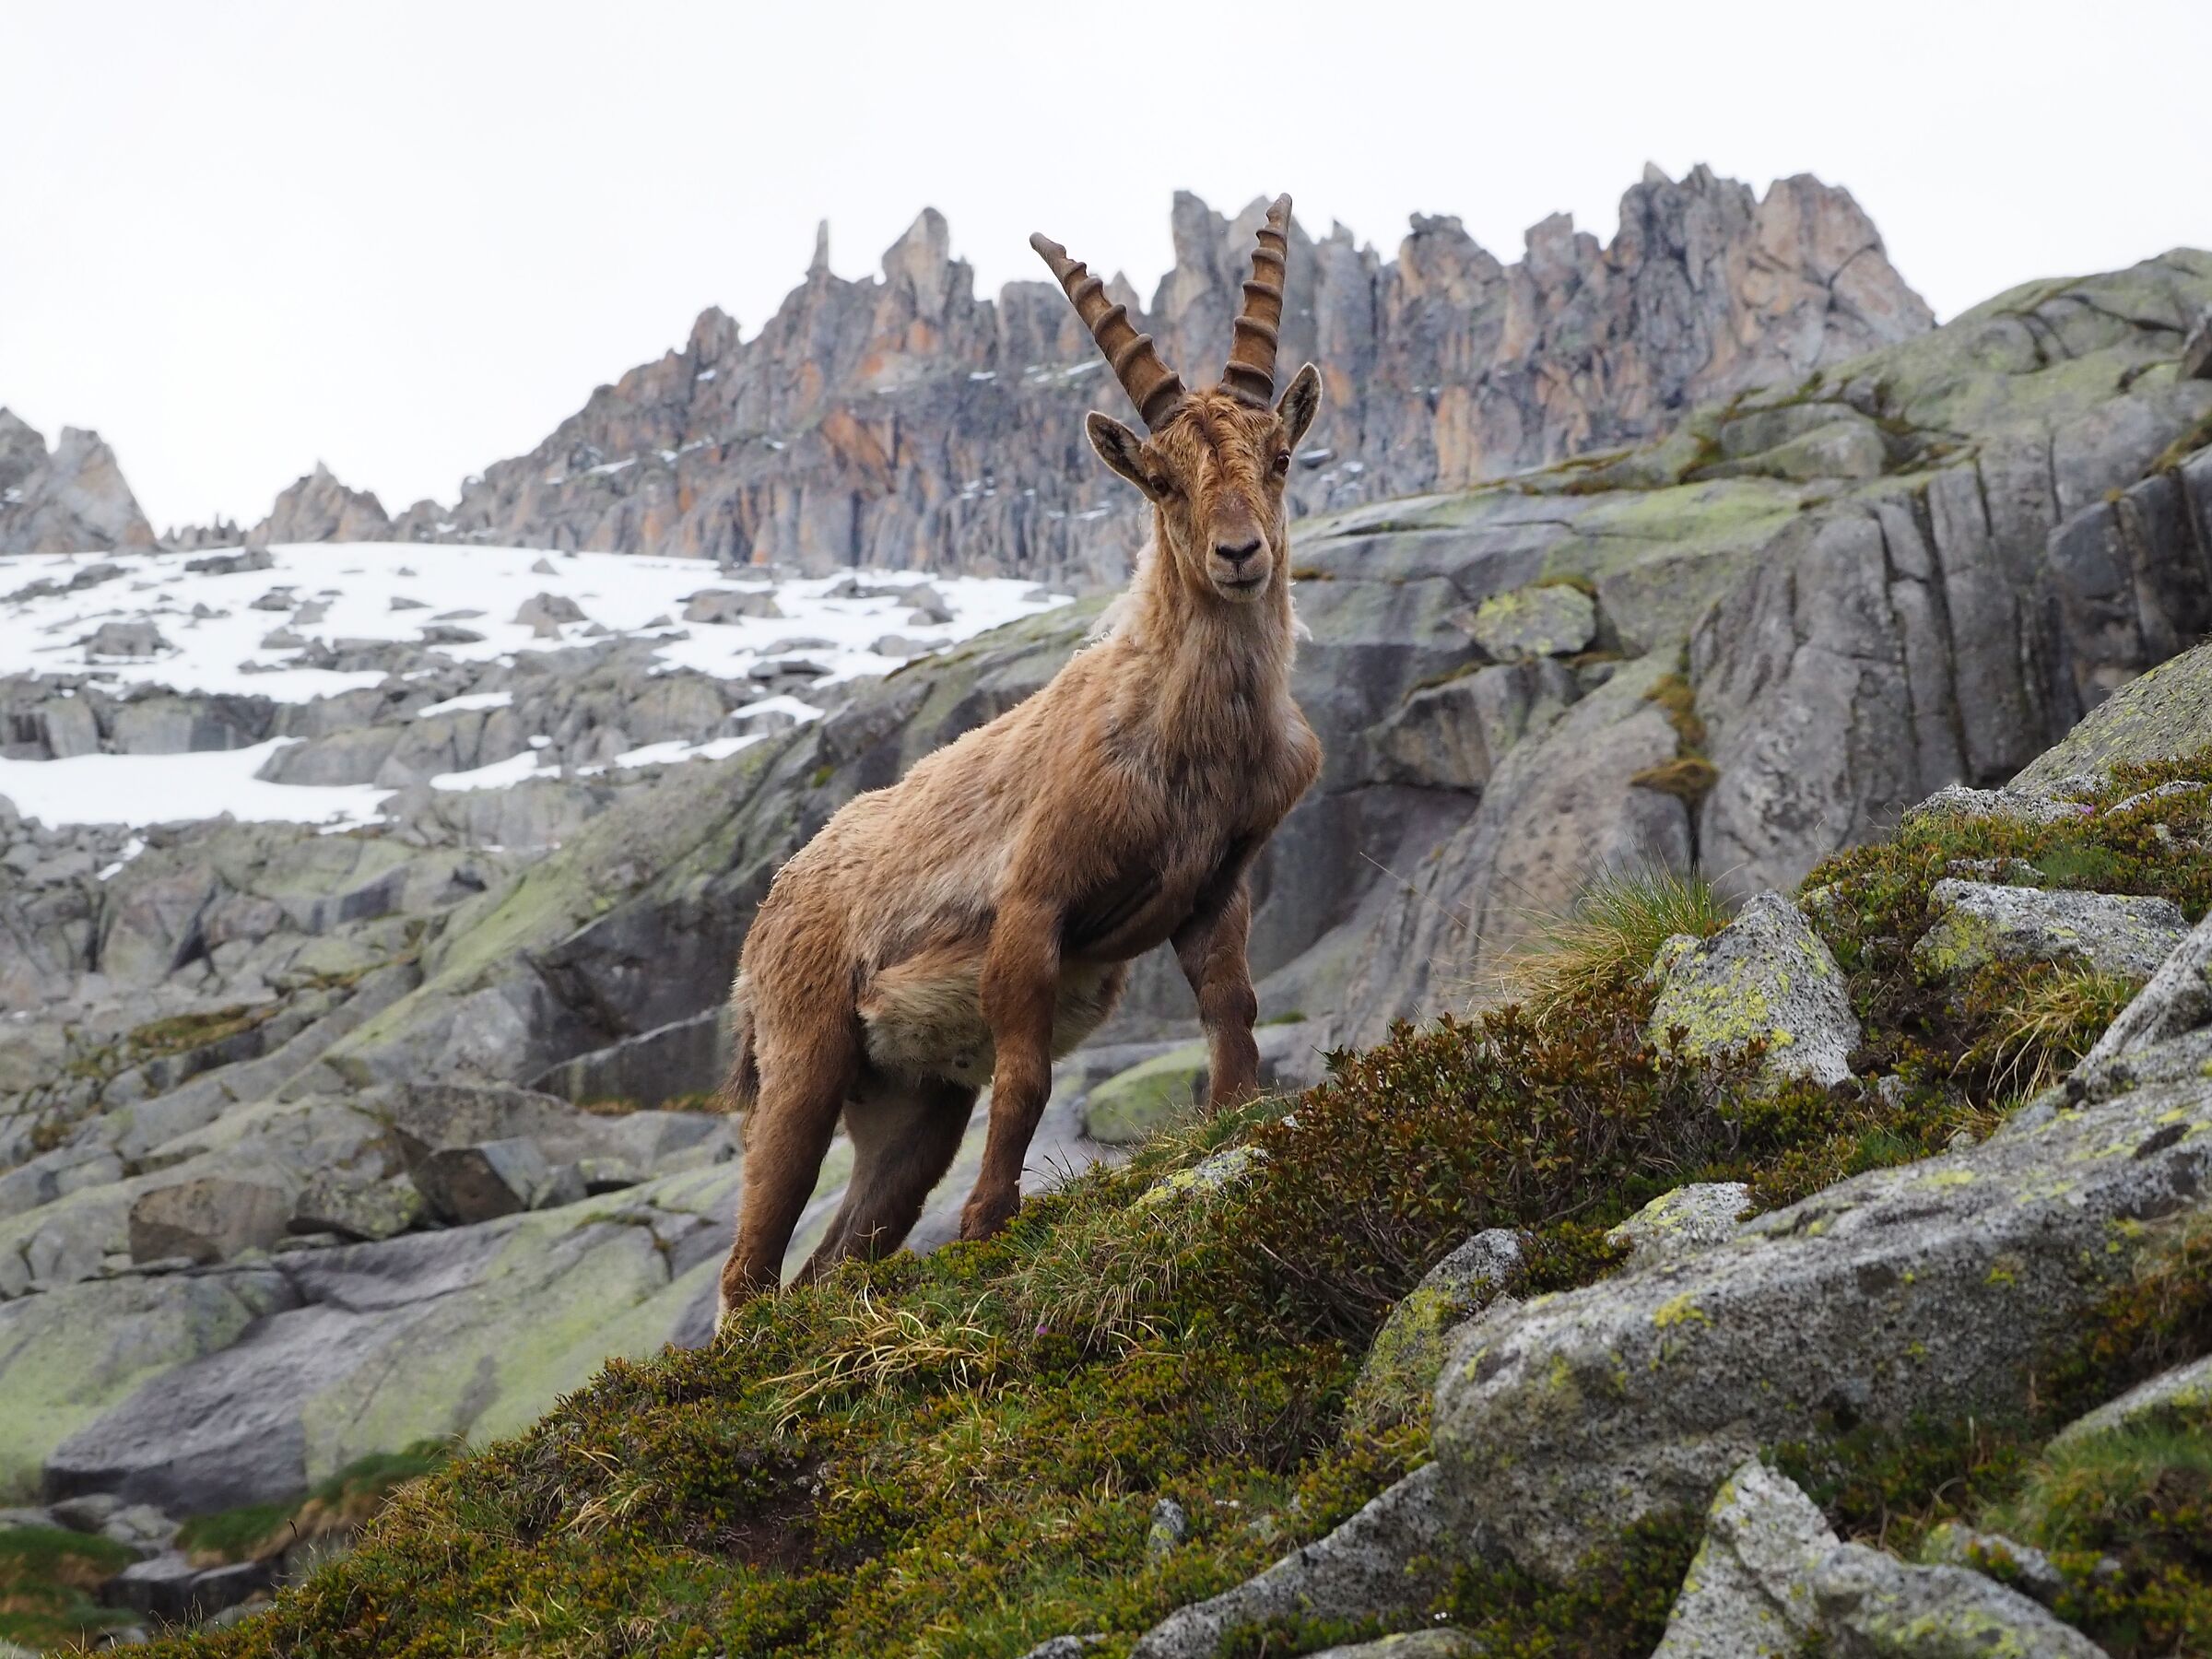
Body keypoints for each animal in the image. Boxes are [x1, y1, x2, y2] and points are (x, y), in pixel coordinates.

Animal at [716, 196, 1323, 1312]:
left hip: (911, 1106)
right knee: (750, 1270)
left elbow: (1233, 1008)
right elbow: (1030, 1072)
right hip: (803, 1058)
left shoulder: (1217, 888)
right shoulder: (1031, 905)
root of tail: (777, 899)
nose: (1239, 555)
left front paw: (1228, 1123)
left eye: (1280, 457)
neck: (1189, 741)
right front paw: (988, 1224)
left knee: (836, 1258)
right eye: (1161, 481)